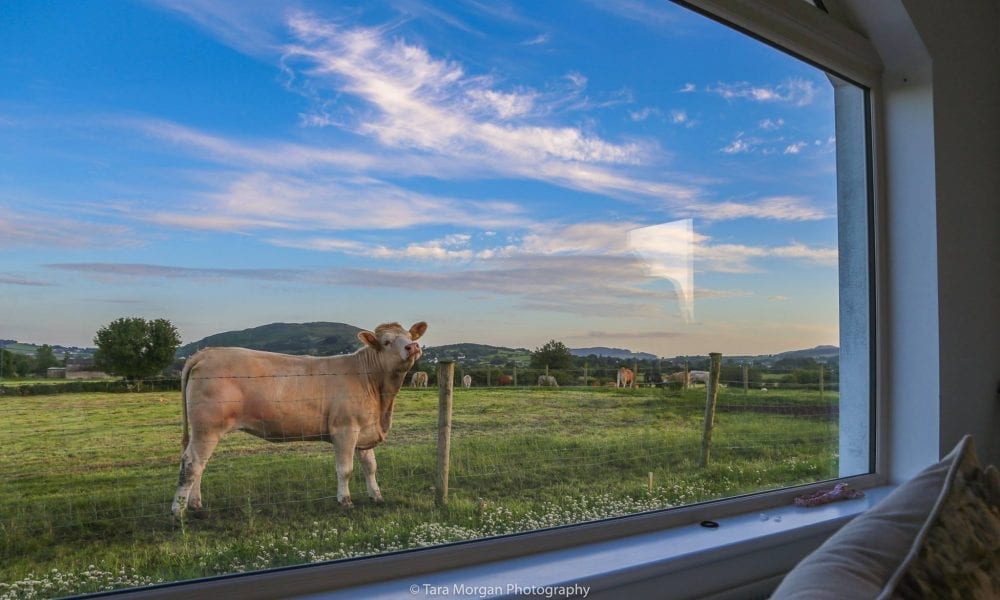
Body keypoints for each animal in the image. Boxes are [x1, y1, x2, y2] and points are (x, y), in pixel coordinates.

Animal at [171, 318, 426, 516]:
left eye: (408, 336)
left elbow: (370, 467)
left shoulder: (365, 429)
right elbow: (345, 468)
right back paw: (178, 512)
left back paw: (195, 506)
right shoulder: (345, 429)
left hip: (204, 430)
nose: (413, 347)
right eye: (386, 342)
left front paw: (377, 497)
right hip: (207, 427)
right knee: (192, 463)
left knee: (199, 465)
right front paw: (345, 501)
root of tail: (206, 353)